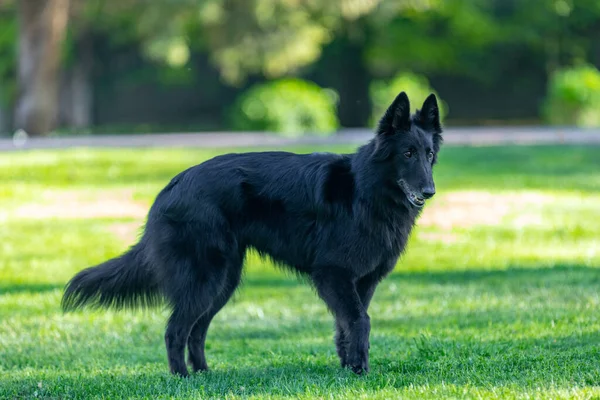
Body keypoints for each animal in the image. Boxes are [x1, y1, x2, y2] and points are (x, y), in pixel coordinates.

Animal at [62, 92, 446, 376]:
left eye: (429, 154)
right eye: (407, 153)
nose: (429, 191)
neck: (367, 190)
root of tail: (172, 186)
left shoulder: (361, 282)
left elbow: (346, 325)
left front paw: (347, 366)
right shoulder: (334, 274)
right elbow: (360, 321)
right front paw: (359, 370)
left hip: (223, 282)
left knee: (196, 330)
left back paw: (203, 374)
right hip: (206, 279)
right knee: (175, 329)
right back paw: (181, 377)